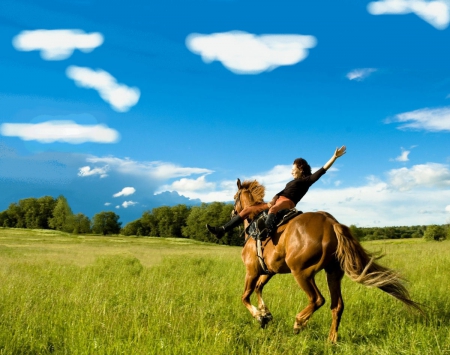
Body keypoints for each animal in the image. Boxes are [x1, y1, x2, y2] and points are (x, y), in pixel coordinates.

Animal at [234, 179, 424, 344]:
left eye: (235, 197)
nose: (232, 212)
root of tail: (331, 223)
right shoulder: (269, 271)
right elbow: (258, 288)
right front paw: (265, 314)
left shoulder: (251, 271)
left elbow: (245, 296)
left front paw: (260, 316)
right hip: (333, 273)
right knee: (337, 305)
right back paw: (331, 340)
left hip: (302, 273)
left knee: (318, 299)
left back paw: (299, 322)